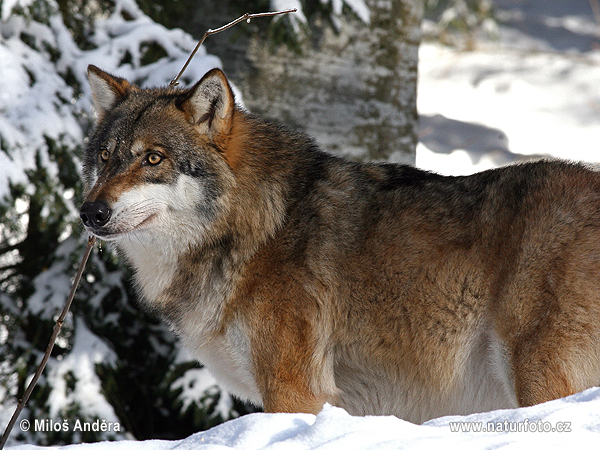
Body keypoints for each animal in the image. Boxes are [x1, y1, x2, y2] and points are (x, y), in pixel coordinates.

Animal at [82, 65, 600, 424]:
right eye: (106, 157)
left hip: (537, 376)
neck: (256, 229)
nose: (90, 213)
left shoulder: (292, 390)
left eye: (153, 159)